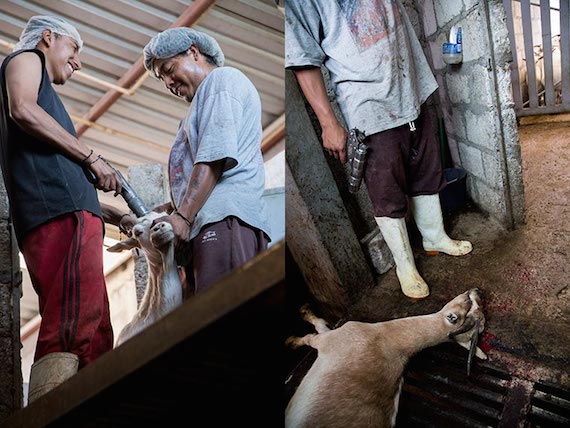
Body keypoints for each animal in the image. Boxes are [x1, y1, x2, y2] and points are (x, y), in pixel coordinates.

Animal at [284, 288, 484, 428]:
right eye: (471, 301)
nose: (476, 290)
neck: (388, 341)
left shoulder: (331, 340)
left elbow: (314, 332)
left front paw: (293, 336)